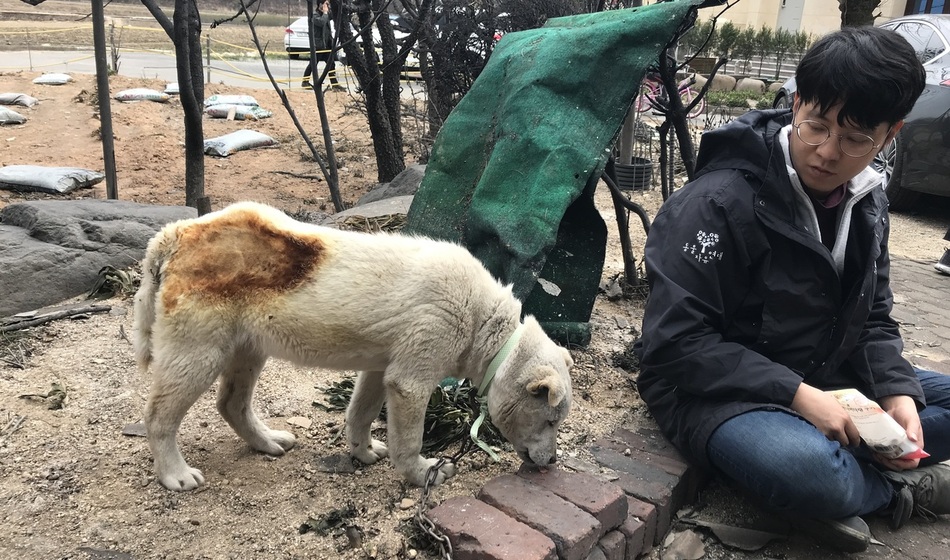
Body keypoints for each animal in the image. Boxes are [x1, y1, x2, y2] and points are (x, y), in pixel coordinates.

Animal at [135, 201, 576, 490]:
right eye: (551, 421)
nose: (552, 461)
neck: (483, 320)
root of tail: (175, 236)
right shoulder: (415, 371)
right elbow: (408, 437)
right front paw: (423, 473)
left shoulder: (381, 367)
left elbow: (360, 412)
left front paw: (362, 453)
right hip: (198, 351)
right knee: (158, 416)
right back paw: (175, 474)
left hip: (248, 348)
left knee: (231, 403)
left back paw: (268, 441)